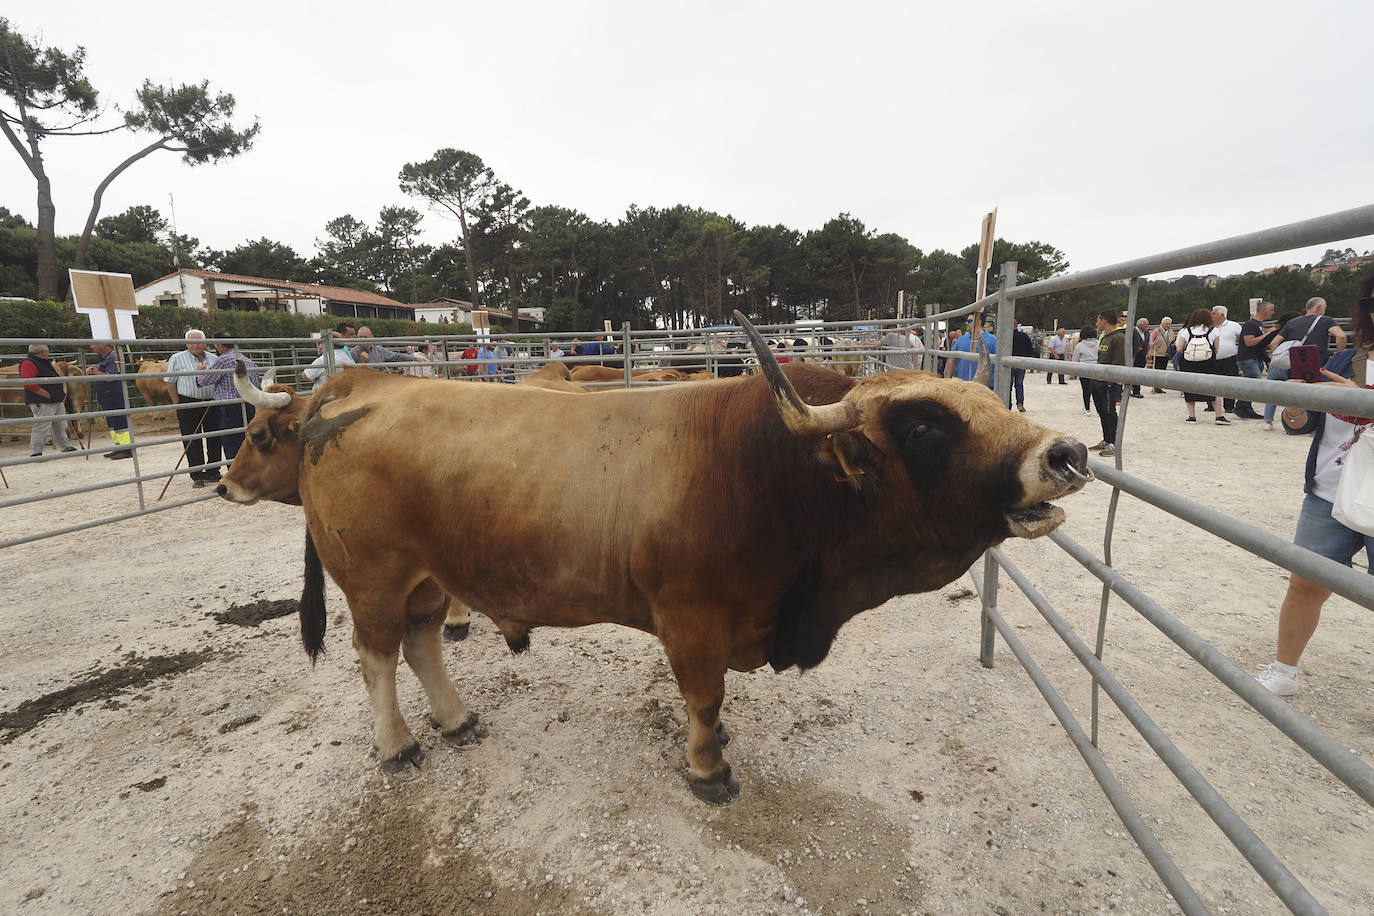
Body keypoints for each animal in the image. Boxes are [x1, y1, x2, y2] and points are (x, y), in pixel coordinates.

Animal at [217, 313, 1093, 802]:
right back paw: (399, 745)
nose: (1068, 453)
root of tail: (360, 387)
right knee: (375, 655)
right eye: (926, 427)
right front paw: (710, 771)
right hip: (372, 576)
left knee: (422, 639)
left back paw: (458, 718)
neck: (767, 471)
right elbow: (704, 701)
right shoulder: (692, 621)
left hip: (430, 576)